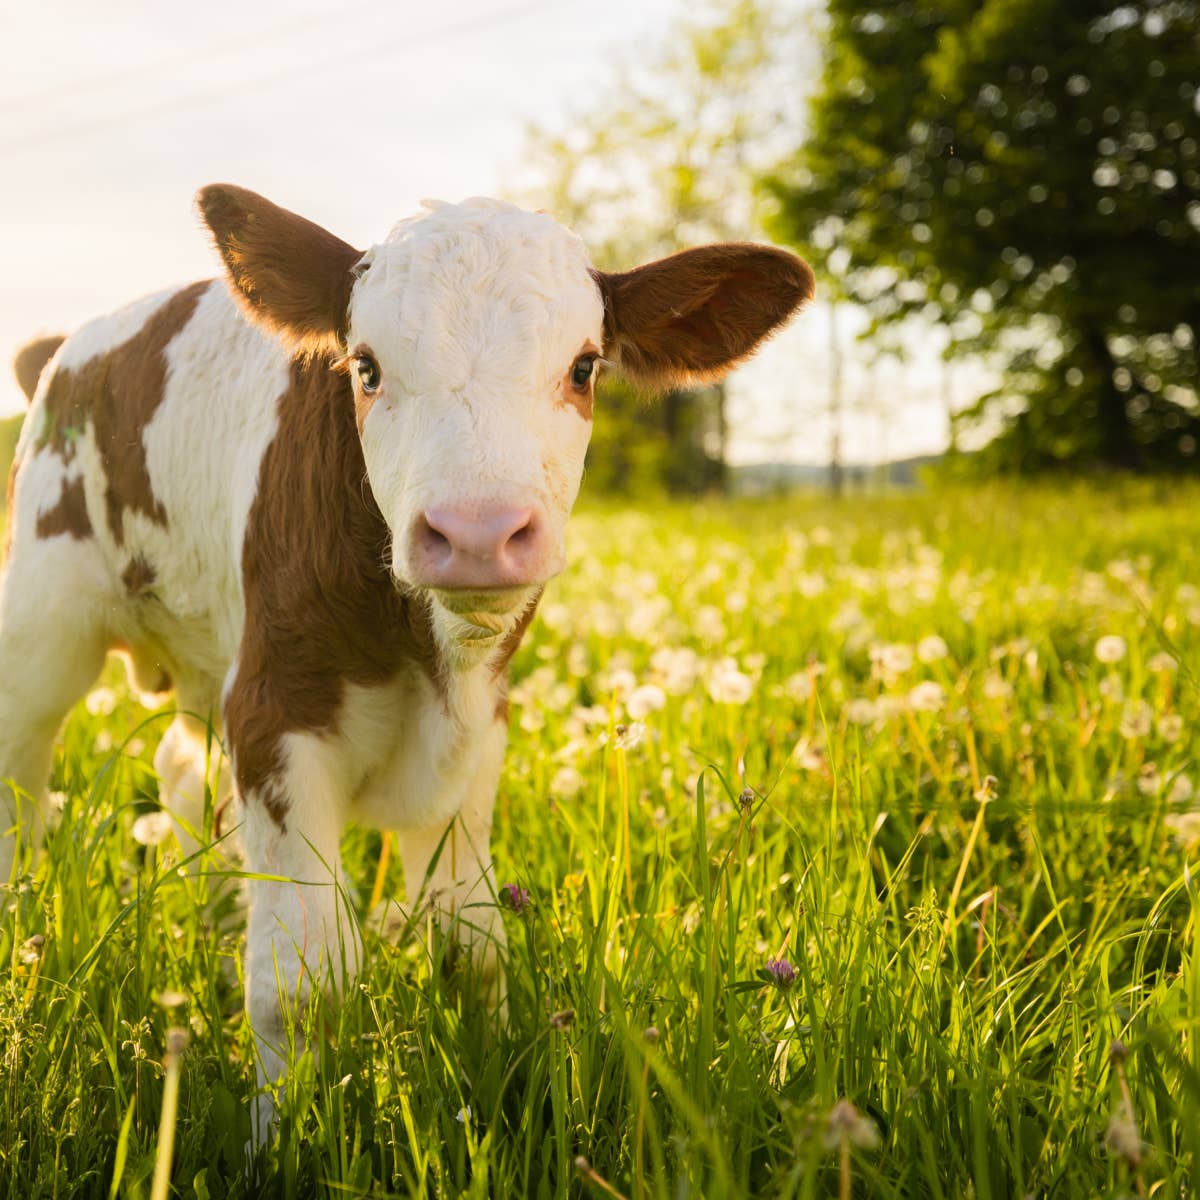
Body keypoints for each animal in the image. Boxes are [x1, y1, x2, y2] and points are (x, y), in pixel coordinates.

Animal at [1, 185, 813, 1138]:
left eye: (584, 369)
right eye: (366, 367)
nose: (477, 532)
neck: (426, 659)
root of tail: (70, 347)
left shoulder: (478, 728)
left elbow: (472, 945)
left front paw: (498, 1089)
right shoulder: (275, 711)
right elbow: (302, 979)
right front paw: (284, 1142)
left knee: (182, 775)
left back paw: (214, 914)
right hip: (43, 617)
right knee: (23, 785)